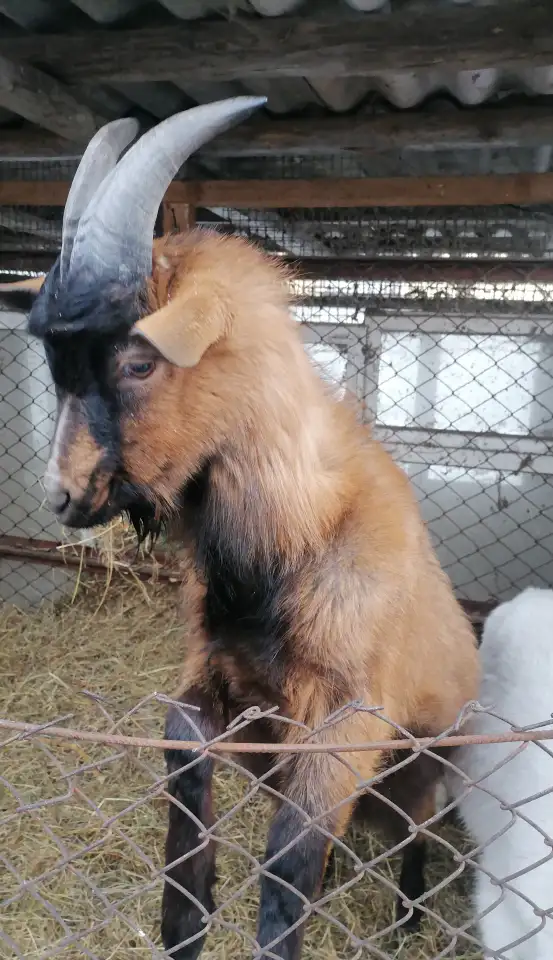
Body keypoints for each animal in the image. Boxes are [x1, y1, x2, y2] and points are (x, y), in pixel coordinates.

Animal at [0, 98, 480, 960]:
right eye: (55, 368)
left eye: (139, 361)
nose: (62, 496)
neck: (296, 540)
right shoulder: (225, 685)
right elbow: (180, 744)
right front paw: (184, 913)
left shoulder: (347, 720)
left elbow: (287, 861)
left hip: (418, 766)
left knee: (413, 836)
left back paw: (407, 918)